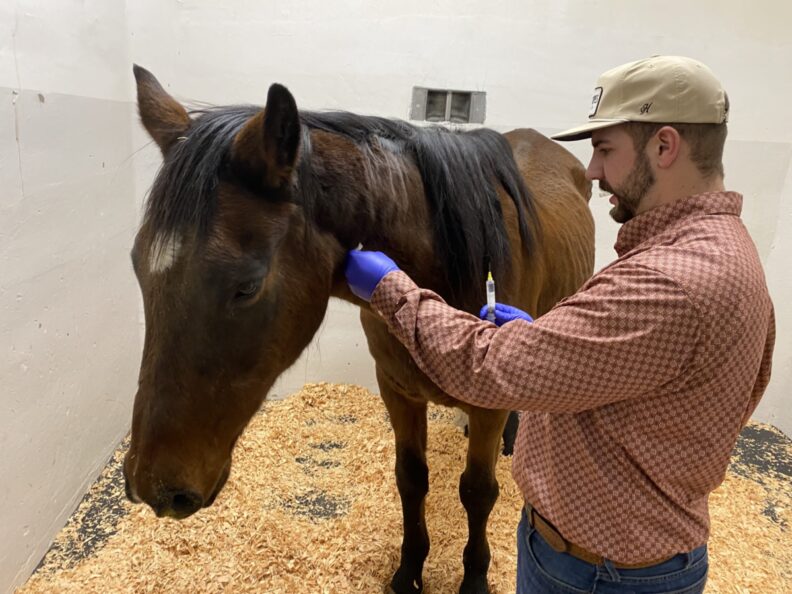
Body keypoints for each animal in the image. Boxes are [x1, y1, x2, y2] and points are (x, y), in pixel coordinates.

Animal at [124, 64, 595, 594]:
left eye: (247, 286)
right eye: (137, 265)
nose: (153, 487)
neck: (437, 270)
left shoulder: (488, 405)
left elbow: (477, 491)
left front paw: (474, 578)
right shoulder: (397, 390)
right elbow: (411, 479)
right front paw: (409, 570)